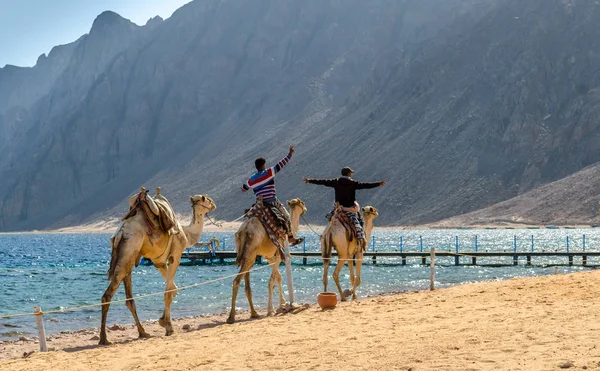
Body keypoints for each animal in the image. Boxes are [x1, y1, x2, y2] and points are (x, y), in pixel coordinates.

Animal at [99, 192, 217, 346]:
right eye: (206, 199)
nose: (214, 203)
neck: (186, 233)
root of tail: (120, 233)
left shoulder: (158, 262)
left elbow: (173, 288)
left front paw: (163, 321)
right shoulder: (175, 256)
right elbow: (169, 291)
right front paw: (168, 327)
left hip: (128, 257)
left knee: (129, 298)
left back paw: (142, 332)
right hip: (129, 250)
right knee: (108, 295)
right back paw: (104, 338)